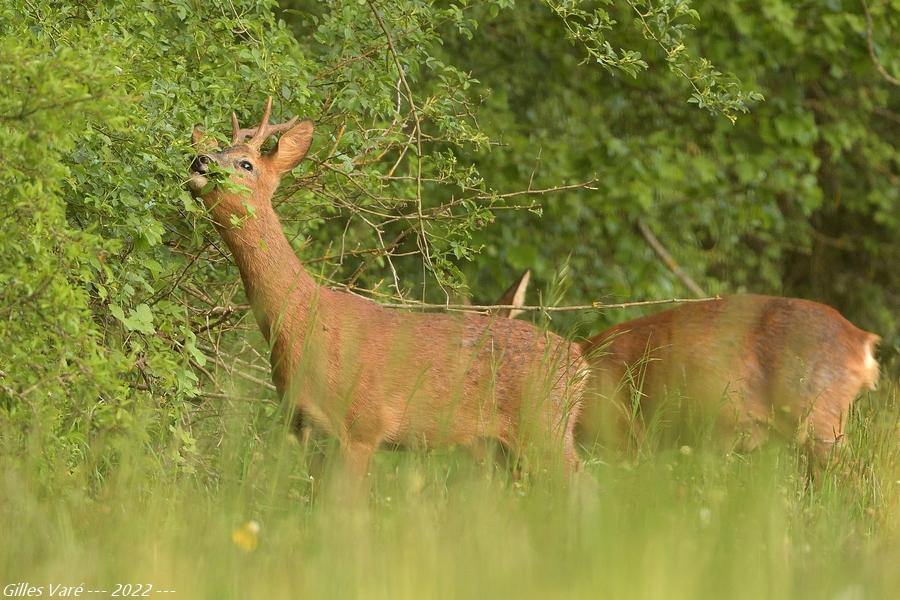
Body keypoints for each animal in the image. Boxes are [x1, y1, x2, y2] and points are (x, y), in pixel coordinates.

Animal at [186, 98, 588, 478]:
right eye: (216, 150)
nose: (199, 161)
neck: (303, 324)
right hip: (500, 446)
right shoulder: (306, 428)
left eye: (246, 164)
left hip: (544, 426)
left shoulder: (363, 425)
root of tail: (580, 360)